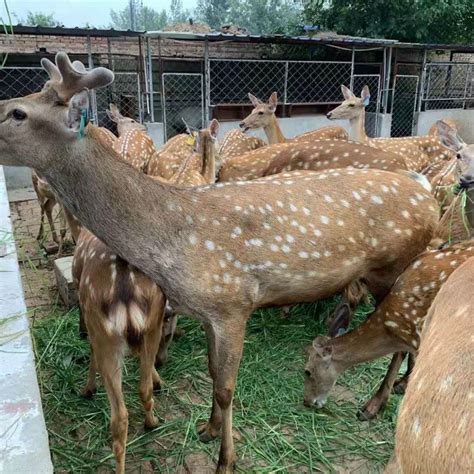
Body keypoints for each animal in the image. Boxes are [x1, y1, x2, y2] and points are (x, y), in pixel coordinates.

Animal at [0, 52, 440, 474]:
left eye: (18, 112)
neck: (175, 241)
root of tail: (425, 189)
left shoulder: (234, 304)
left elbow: (227, 388)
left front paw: (225, 460)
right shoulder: (208, 311)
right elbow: (212, 375)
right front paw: (207, 428)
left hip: (395, 264)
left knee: (399, 331)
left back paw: (376, 401)